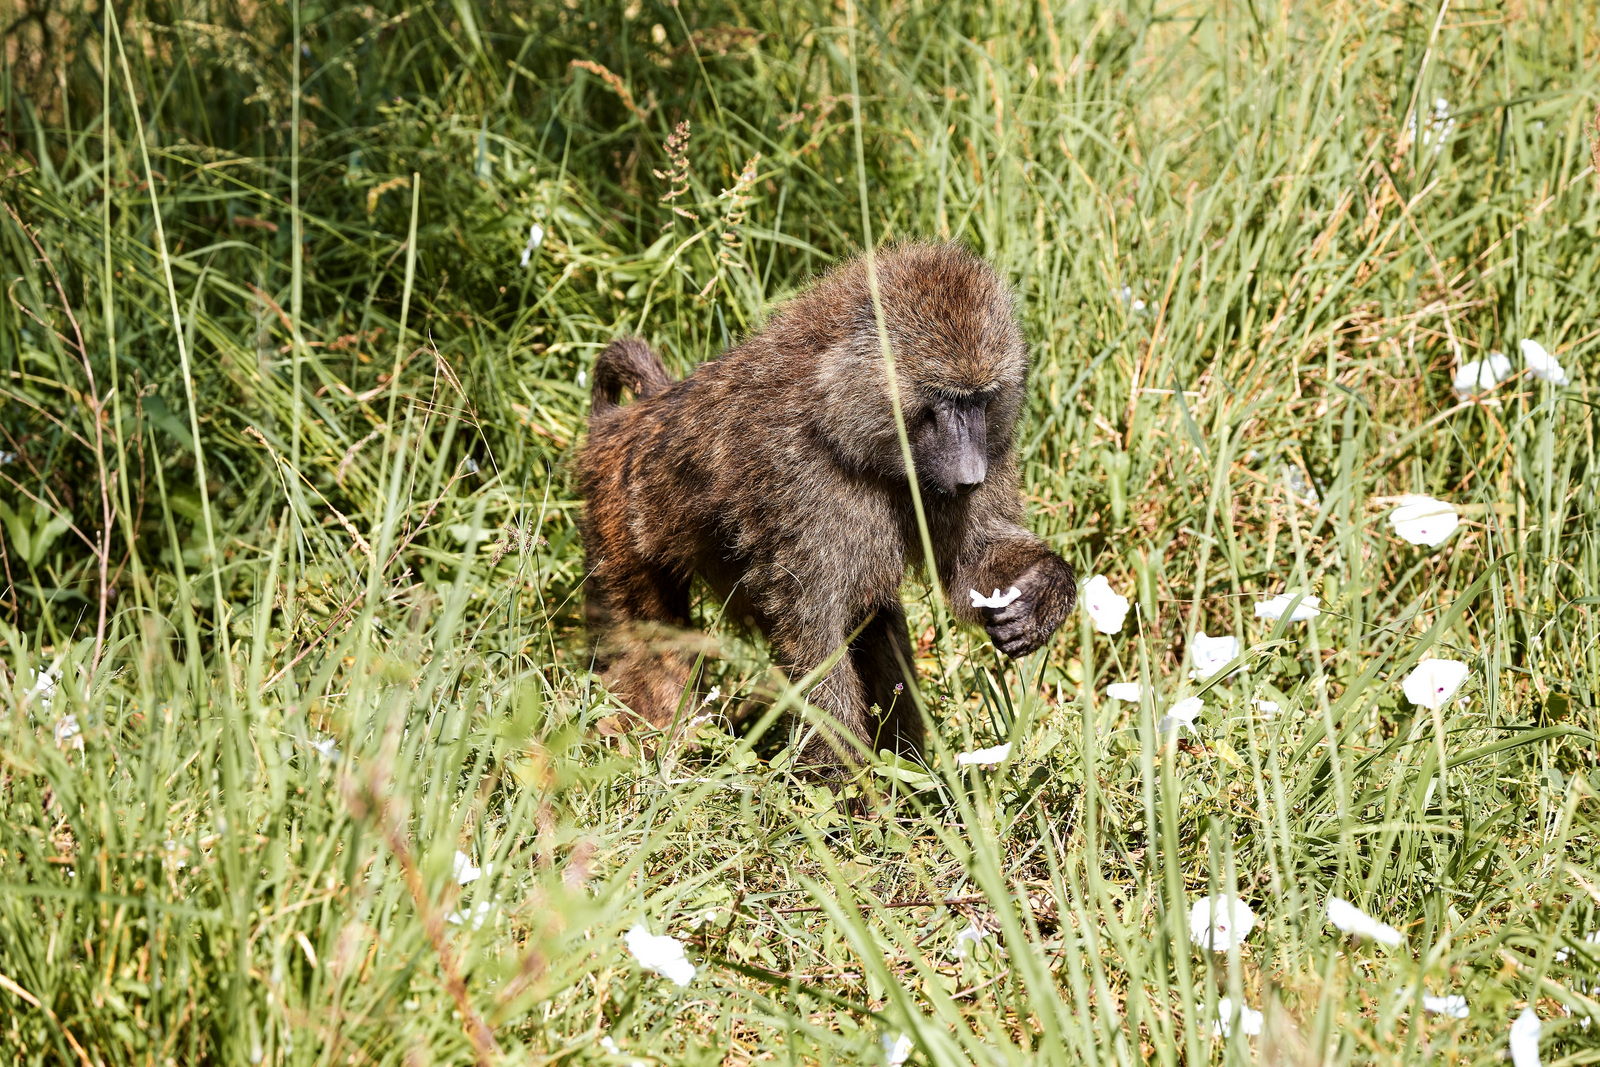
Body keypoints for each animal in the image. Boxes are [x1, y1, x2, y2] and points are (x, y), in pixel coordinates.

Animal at [576, 241, 1076, 774]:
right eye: (945, 399)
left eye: (982, 401)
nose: (971, 476)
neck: (841, 420)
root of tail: (629, 419)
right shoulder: (798, 483)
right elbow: (816, 633)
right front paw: (849, 789)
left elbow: (971, 563)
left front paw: (1040, 595)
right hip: (621, 528)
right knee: (651, 641)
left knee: (879, 628)